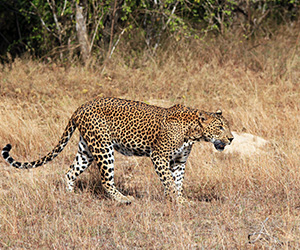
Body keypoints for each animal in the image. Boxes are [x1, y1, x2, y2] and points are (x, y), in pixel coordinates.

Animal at [1, 96, 233, 204]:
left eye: (227, 126)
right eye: (221, 127)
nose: (231, 138)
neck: (193, 132)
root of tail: (81, 107)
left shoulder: (179, 161)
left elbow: (177, 181)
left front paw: (179, 200)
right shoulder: (159, 156)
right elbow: (169, 180)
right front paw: (178, 200)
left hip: (87, 149)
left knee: (69, 172)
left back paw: (70, 196)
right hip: (104, 148)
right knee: (106, 180)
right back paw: (123, 199)